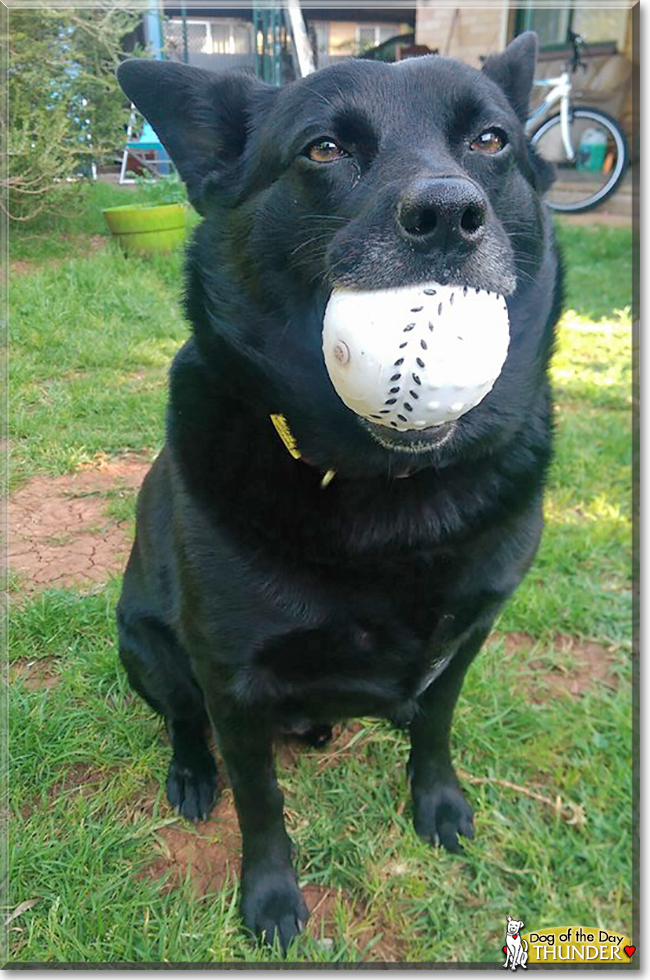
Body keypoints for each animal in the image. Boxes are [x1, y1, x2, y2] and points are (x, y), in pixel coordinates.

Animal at [117, 36, 560, 948]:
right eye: (323, 149)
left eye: (491, 141)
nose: (447, 216)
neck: (394, 490)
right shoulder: (233, 681)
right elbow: (260, 801)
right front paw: (270, 899)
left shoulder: (471, 634)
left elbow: (436, 726)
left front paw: (439, 805)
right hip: (143, 645)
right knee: (182, 719)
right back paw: (190, 773)